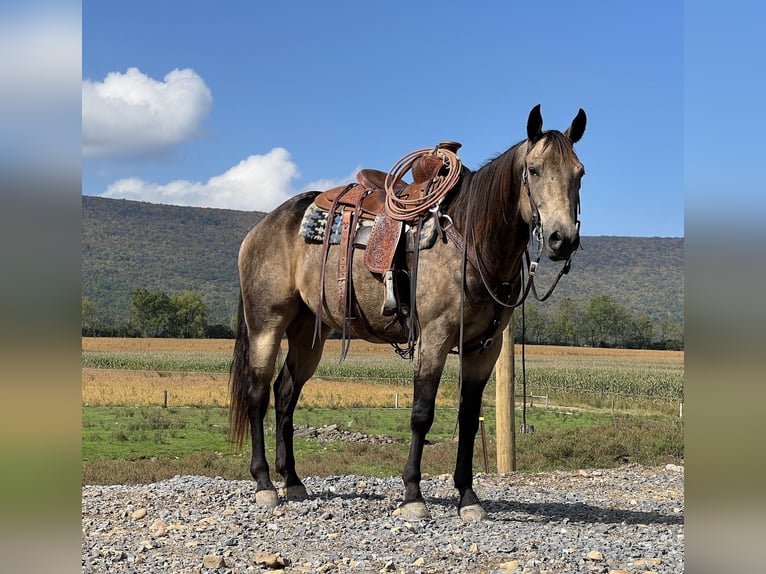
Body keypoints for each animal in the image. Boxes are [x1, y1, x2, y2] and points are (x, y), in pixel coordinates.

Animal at [228, 103, 588, 520]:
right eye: (534, 169)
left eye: (579, 173)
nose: (563, 239)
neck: (472, 239)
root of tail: (261, 228)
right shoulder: (433, 338)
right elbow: (422, 413)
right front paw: (414, 494)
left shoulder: (484, 348)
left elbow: (468, 417)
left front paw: (468, 497)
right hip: (266, 324)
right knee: (257, 394)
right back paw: (265, 484)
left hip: (307, 333)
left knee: (285, 393)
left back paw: (293, 481)